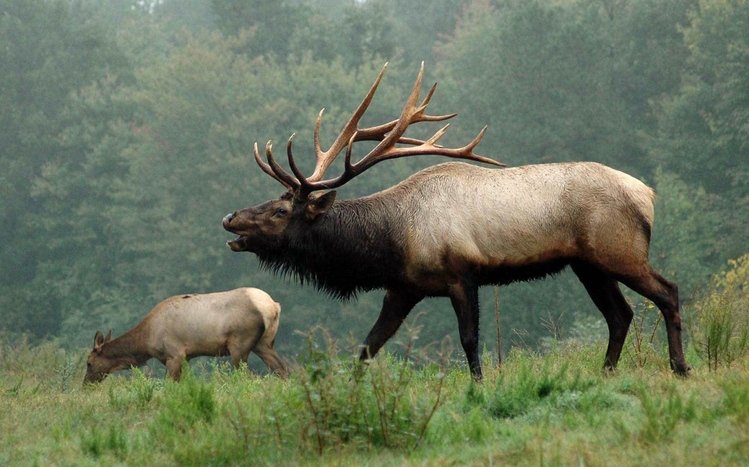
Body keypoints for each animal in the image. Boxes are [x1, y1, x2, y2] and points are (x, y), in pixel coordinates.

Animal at [84, 288, 288, 382]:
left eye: (89, 363)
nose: (86, 384)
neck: (147, 341)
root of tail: (273, 306)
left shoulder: (174, 354)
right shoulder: (185, 358)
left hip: (239, 344)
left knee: (246, 376)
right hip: (264, 343)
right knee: (283, 369)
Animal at [222, 63, 689, 381]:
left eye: (281, 211)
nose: (230, 218)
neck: (390, 241)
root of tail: (647, 195)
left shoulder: (462, 275)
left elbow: (469, 340)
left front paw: (479, 387)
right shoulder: (403, 287)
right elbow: (368, 346)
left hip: (619, 251)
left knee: (667, 292)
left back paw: (680, 367)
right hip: (587, 264)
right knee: (620, 314)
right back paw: (606, 372)